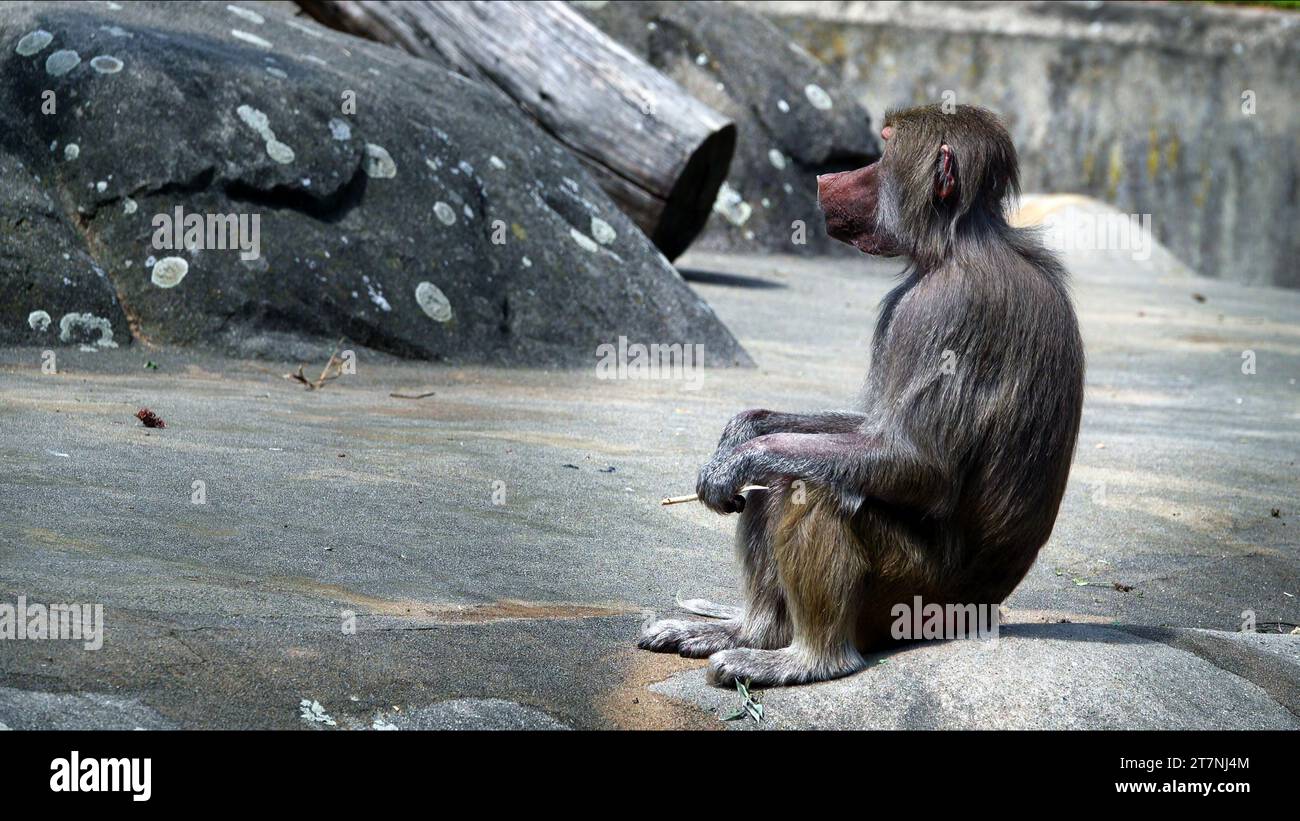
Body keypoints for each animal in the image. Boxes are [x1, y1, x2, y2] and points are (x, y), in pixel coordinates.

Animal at [639, 104, 1085, 688]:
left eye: (883, 148)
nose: (828, 179)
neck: (956, 243)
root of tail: (981, 610)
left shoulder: (940, 310)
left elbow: (919, 463)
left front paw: (739, 457)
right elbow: (870, 429)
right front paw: (744, 431)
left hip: (915, 596)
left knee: (807, 487)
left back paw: (807, 660)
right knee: (787, 480)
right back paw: (748, 634)